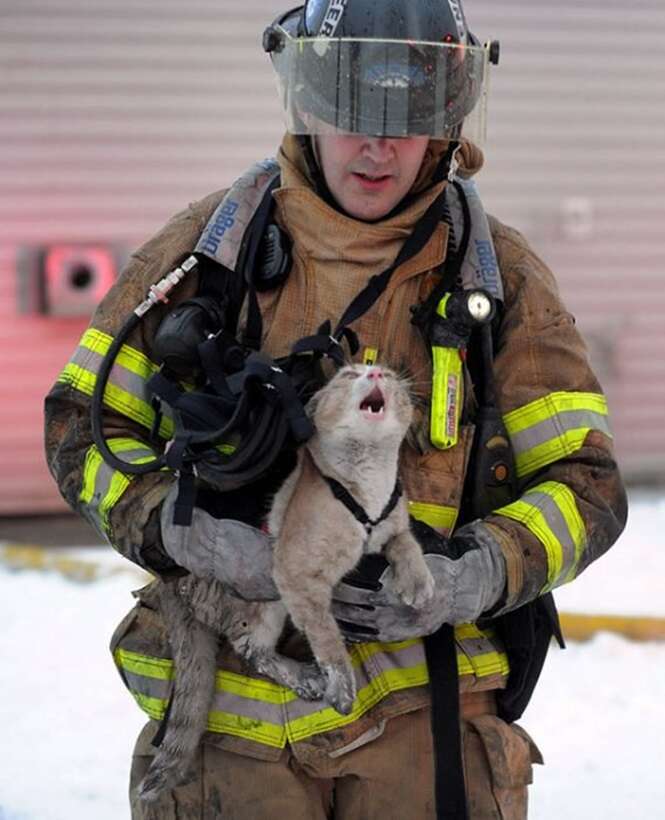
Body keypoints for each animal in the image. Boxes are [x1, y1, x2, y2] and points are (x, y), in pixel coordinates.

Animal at [137, 364, 434, 800]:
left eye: (390, 374)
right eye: (348, 374)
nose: (376, 371)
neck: (368, 487)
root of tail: (168, 582)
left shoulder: (393, 526)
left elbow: (407, 543)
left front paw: (421, 585)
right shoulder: (298, 575)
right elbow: (327, 636)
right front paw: (340, 686)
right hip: (262, 599)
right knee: (252, 649)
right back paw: (306, 678)